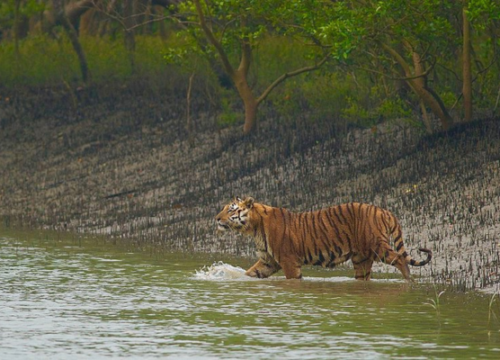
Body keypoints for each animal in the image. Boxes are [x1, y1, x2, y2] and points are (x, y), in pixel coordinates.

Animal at [217, 198, 432, 280]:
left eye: (231, 210)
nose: (216, 218)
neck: (254, 227)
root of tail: (384, 210)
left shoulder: (288, 261)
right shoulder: (268, 261)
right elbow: (250, 273)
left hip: (378, 246)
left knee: (400, 259)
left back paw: (409, 282)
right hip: (361, 258)